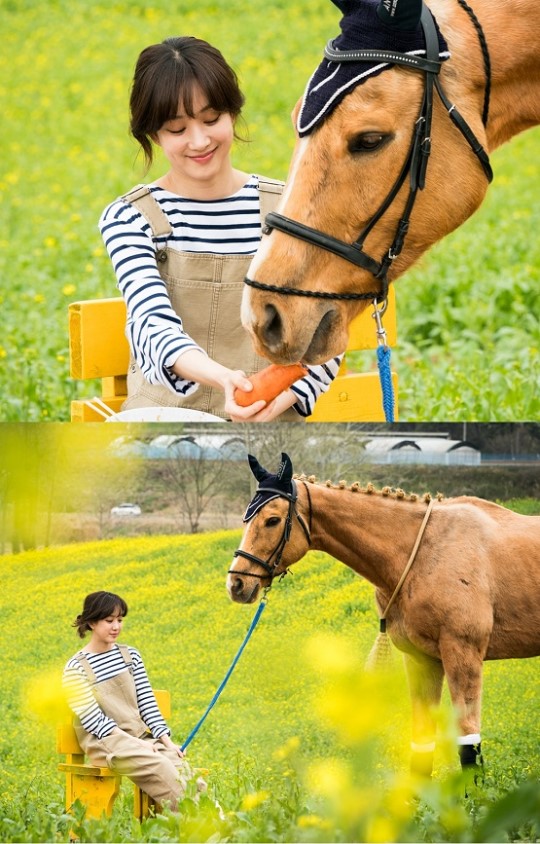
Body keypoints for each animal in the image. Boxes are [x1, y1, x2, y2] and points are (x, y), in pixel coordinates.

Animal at [227, 454, 540, 780]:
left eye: (272, 520)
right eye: (246, 519)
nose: (236, 583)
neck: (427, 552)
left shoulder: (463, 655)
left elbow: (469, 747)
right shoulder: (421, 660)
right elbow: (421, 744)